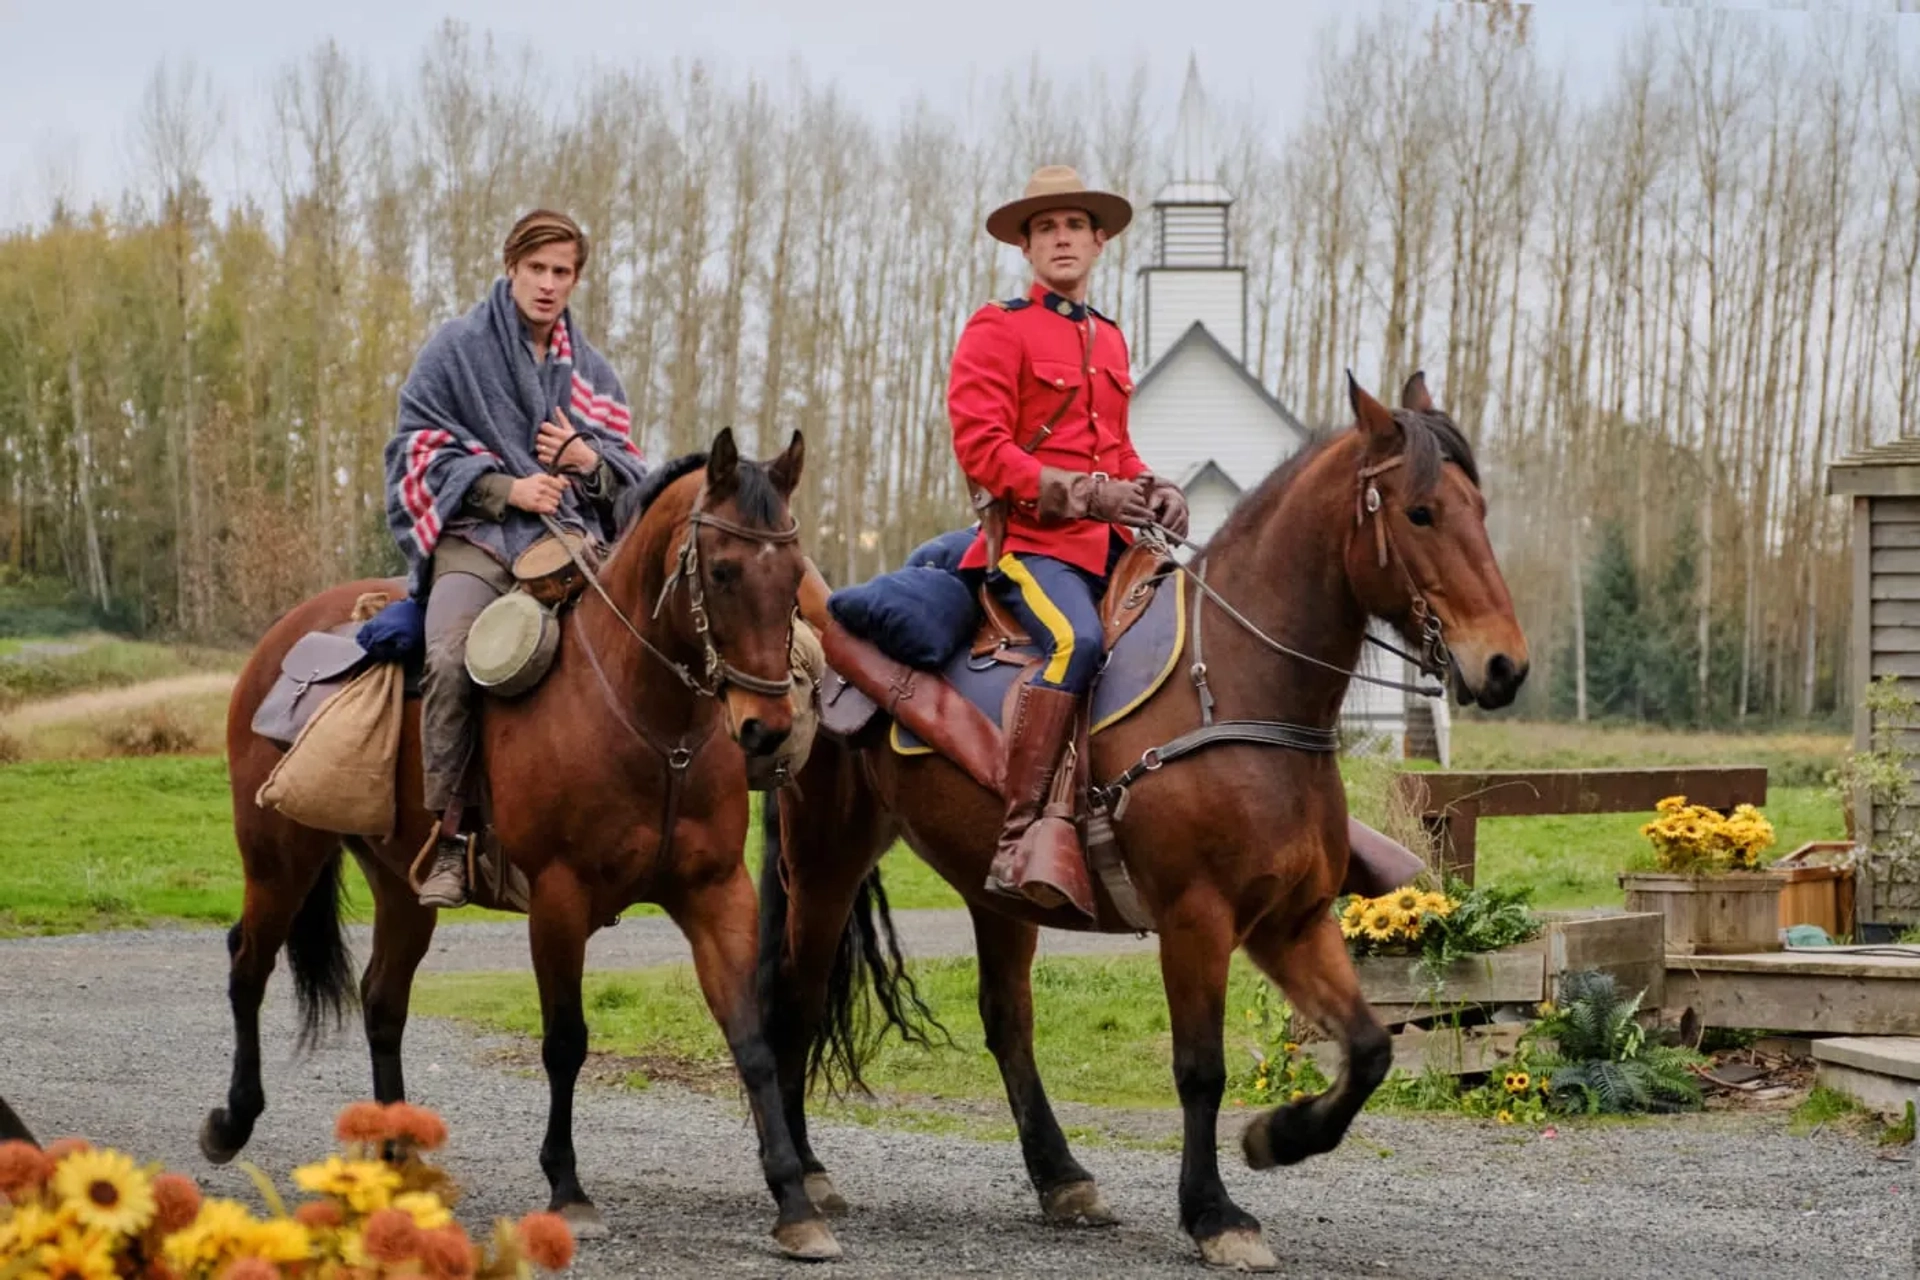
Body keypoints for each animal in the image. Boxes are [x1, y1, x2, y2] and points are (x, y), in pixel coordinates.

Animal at [206, 427, 844, 1258]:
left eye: (794, 574)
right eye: (725, 570)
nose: (765, 728)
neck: (648, 717)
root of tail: (278, 642)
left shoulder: (715, 894)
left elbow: (753, 1040)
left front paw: (794, 1203)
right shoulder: (559, 898)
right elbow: (565, 1041)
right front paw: (568, 1191)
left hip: (401, 885)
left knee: (381, 1000)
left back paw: (396, 1160)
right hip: (280, 856)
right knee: (248, 964)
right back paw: (232, 1121)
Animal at [756, 372, 1520, 1274]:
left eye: (1481, 509)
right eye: (1421, 513)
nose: (1504, 665)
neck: (1237, 690)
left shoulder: (1291, 922)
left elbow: (1369, 1049)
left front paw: (1278, 1138)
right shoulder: (1197, 918)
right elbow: (1200, 1068)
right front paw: (1214, 1214)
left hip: (995, 890)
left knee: (1006, 1020)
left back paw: (1060, 1178)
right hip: (826, 861)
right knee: (797, 1002)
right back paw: (805, 1178)